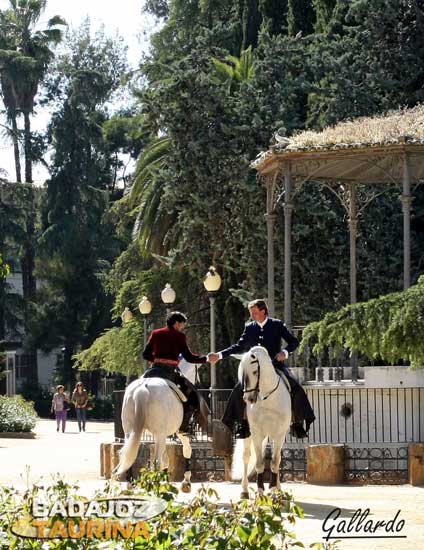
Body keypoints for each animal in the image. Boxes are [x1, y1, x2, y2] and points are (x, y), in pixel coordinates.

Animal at [234, 350, 294, 500]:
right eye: (241, 373)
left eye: (255, 371)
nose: (248, 399)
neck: (269, 399)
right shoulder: (256, 433)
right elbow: (260, 463)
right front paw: (260, 492)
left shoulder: (279, 434)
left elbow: (275, 461)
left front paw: (274, 489)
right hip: (248, 435)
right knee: (246, 456)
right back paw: (244, 490)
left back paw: (278, 489)